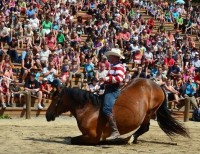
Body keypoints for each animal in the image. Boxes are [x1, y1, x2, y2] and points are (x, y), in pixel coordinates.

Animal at [46, 79, 190, 145]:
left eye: (55, 99)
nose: (48, 115)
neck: (89, 109)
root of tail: (157, 85)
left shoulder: (93, 136)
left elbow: (73, 140)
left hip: (149, 112)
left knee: (144, 127)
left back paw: (128, 139)